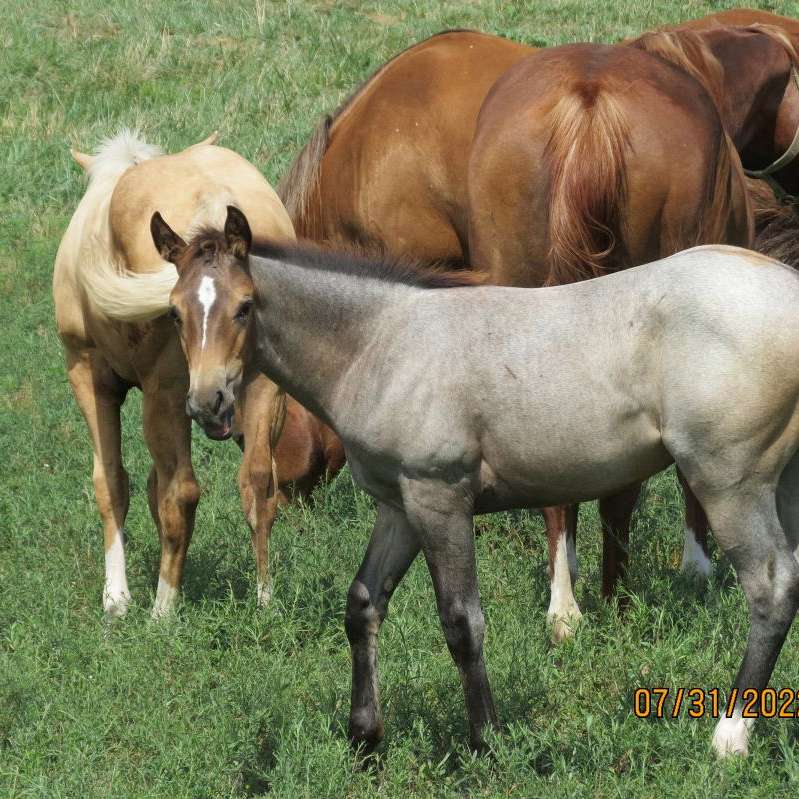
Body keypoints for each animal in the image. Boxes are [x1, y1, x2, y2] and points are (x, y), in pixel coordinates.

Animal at [54, 133, 342, 620]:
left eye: (244, 307)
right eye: (176, 313)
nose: (212, 400)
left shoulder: (90, 375)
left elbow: (112, 482)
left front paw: (118, 599)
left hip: (165, 392)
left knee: (181, 491)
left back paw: (162, 610)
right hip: (258, 387)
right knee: (257, 479)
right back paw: (264, 600)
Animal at [153, 205, 799, 756]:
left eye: (244, 306)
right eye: (175, 312)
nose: (208, 405)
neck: (382, 342)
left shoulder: (440, 498)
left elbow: (462, 621)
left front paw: (486, 740)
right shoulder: (400, 504)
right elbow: (363, 604)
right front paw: (365, 738)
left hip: (729, 483)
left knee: (771, 589)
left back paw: (730, 737)